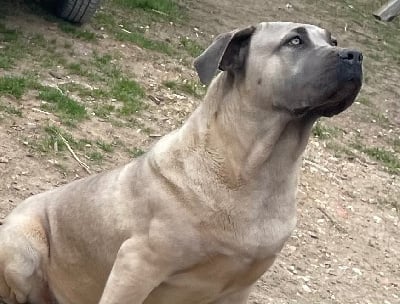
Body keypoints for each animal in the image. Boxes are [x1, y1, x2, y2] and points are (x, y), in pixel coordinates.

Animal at [0, 22, 362, 304]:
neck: (256, 170)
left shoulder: (239, 287)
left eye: (332, 42)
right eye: (295, 41)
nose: (355, 55)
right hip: (22, 245)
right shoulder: (137, 264)